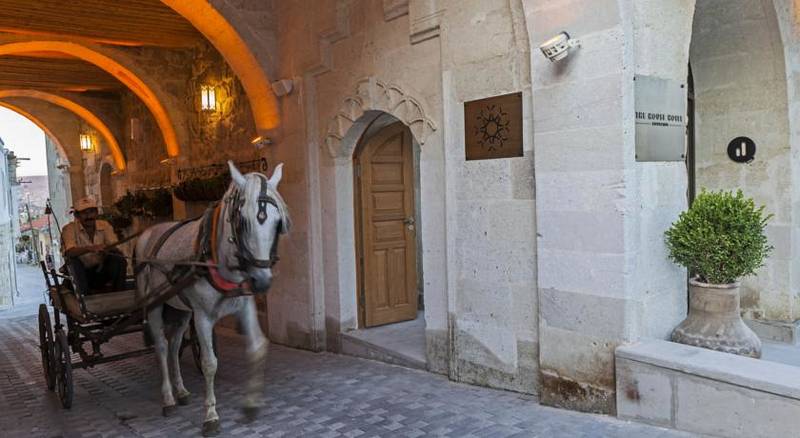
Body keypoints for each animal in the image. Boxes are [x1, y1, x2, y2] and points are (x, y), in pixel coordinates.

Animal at [135, 163, 290, 436]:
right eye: (242, 221)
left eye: (277, 222)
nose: (262, 281)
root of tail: (148, 233)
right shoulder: (203, 317)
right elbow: (209, 363)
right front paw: (210, 416)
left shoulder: (244, 307)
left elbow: (257, 348)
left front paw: (251, 404)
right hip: (155, 305)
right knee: (162, 347)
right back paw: (168, 398)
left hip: (182, 310)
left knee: (174, 345)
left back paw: (181, 391)